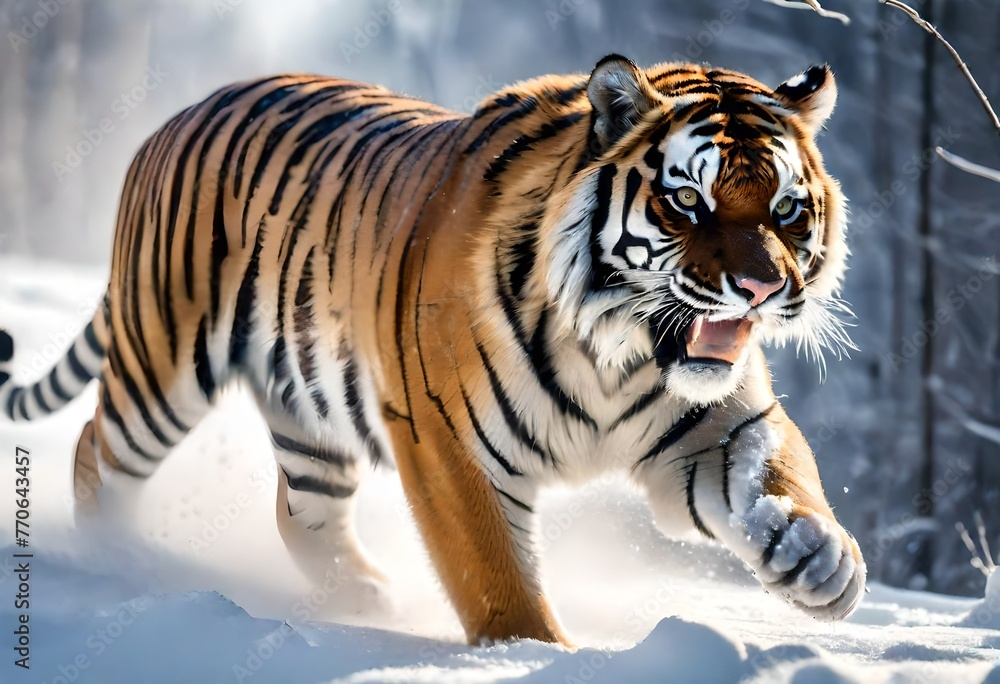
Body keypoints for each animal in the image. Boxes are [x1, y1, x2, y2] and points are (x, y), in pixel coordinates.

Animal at [0, 55, 865, 645]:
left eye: (788, 209)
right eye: (688, 200)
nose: (761, 287)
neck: (618, 354)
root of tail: (184, 110)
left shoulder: (714, 426)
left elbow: (777, 473)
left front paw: (819, 564)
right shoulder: (452, 444)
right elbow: (495, 579)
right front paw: (529, 657)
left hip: (307, 411)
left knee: (300, 510)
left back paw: (361, 597)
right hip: (163, 359)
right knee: (93, 448)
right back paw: (117, 559)